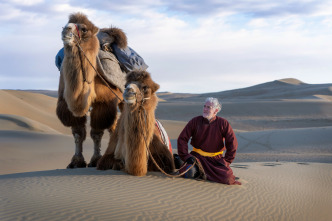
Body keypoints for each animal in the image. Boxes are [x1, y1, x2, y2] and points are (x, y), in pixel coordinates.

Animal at [56, 12, 125, 167]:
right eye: (65, 24)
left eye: (84, 29)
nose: (66, 30)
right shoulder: (66, 103)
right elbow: (78, 133)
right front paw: (76, 161)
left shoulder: (104, 102)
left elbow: (97, 133)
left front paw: (95, 159)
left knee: (115, 125)